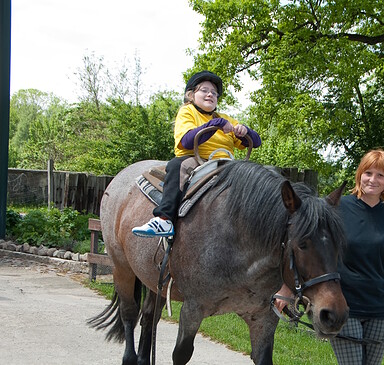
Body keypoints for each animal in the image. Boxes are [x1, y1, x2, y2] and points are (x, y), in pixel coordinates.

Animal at [89, 159, 348, 364]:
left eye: (339, 245)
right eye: (302, 244)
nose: (333, 315)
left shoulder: (263, 318)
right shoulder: (192, 310)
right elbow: (180, 354)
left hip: (155, 281)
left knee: (149, 318)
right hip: (121, 269)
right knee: (130, 314)